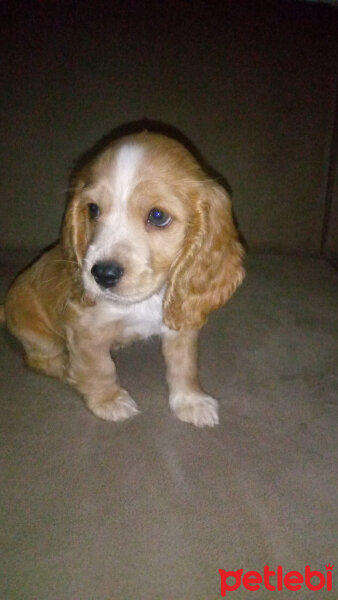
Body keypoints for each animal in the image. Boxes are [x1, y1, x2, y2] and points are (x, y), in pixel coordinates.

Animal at [1, 134, 246, 428]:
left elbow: (184, 365)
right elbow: (100, 368)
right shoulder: (84, 328)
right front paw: (109, 401)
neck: (145, 301)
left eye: (158, 216)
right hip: (40, 337)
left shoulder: (181, 324)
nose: (102, 274)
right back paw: (68, 370)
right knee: (39, 360)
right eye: (93, 209)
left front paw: (191, 401)